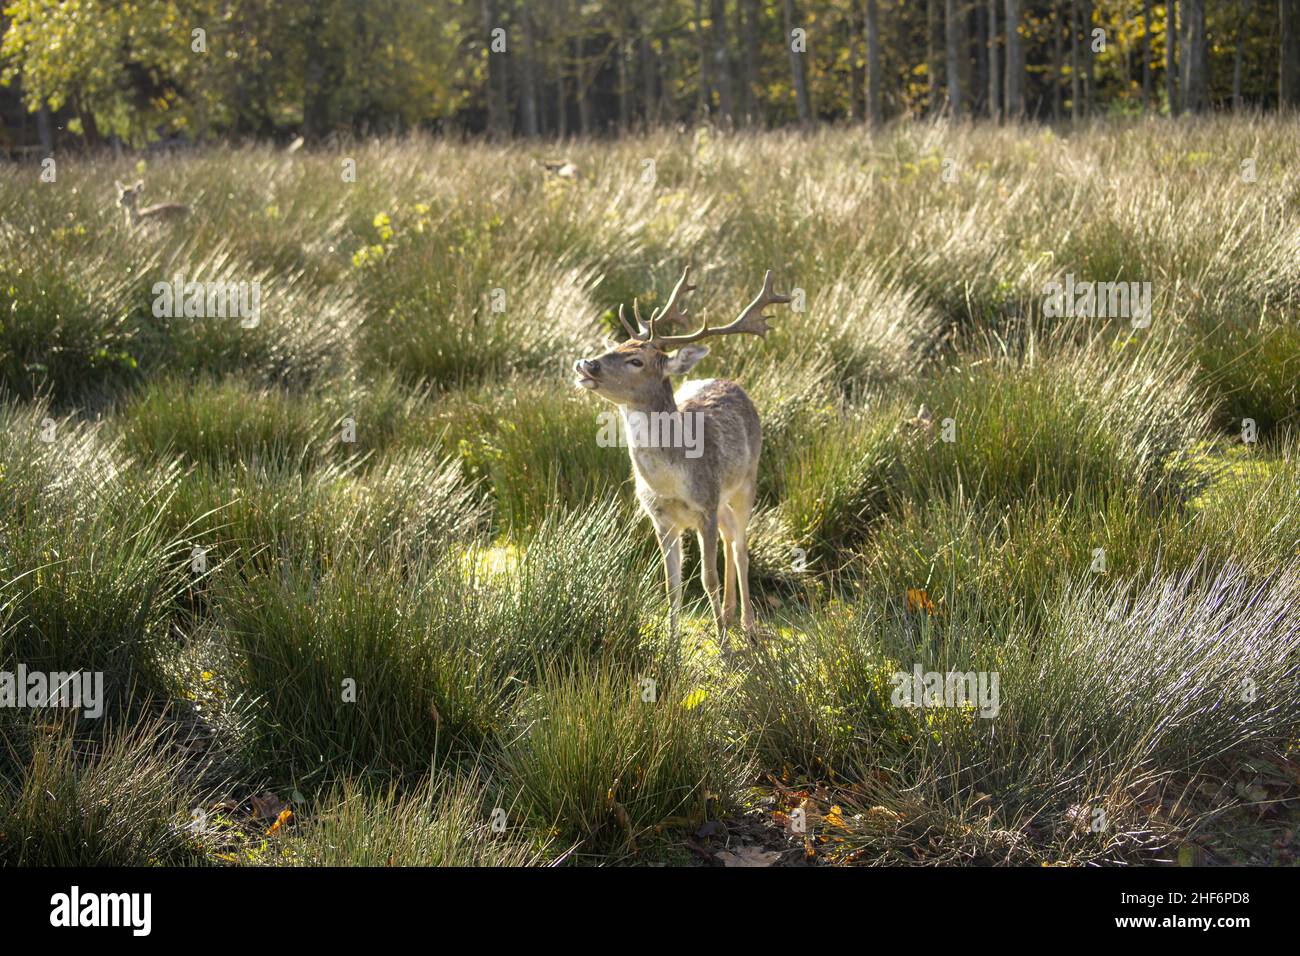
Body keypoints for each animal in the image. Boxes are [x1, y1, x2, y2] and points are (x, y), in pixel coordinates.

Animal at [572, 267, 790, 642]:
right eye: (617, 345)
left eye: (636, 360)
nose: (585, 364)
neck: (670, 482)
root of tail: (732, 382)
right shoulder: (660, 517)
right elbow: (671, 584)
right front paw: (672, 641)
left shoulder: (705, 506)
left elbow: (707, 578)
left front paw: (722, 643)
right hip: (723, 501)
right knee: (730, 537)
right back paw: (729, 615)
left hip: (747, 481)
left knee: (741, 546)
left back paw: (747, 625)